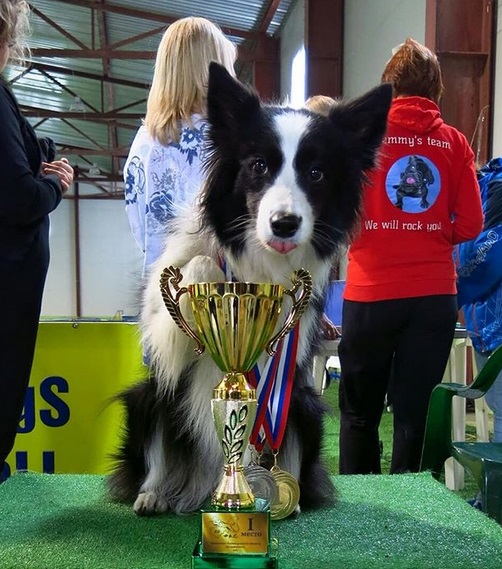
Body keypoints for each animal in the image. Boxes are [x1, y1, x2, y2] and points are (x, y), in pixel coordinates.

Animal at [109, 62, 392, 516]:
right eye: (258, 165)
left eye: (316, 173)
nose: (285, 224)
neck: (257, 262)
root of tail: (202, 484)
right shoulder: (164, 336)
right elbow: (200, 267)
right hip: (147, 399)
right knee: (155, 450)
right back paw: (154, 494)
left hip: (305, 406)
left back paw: (283, 496)